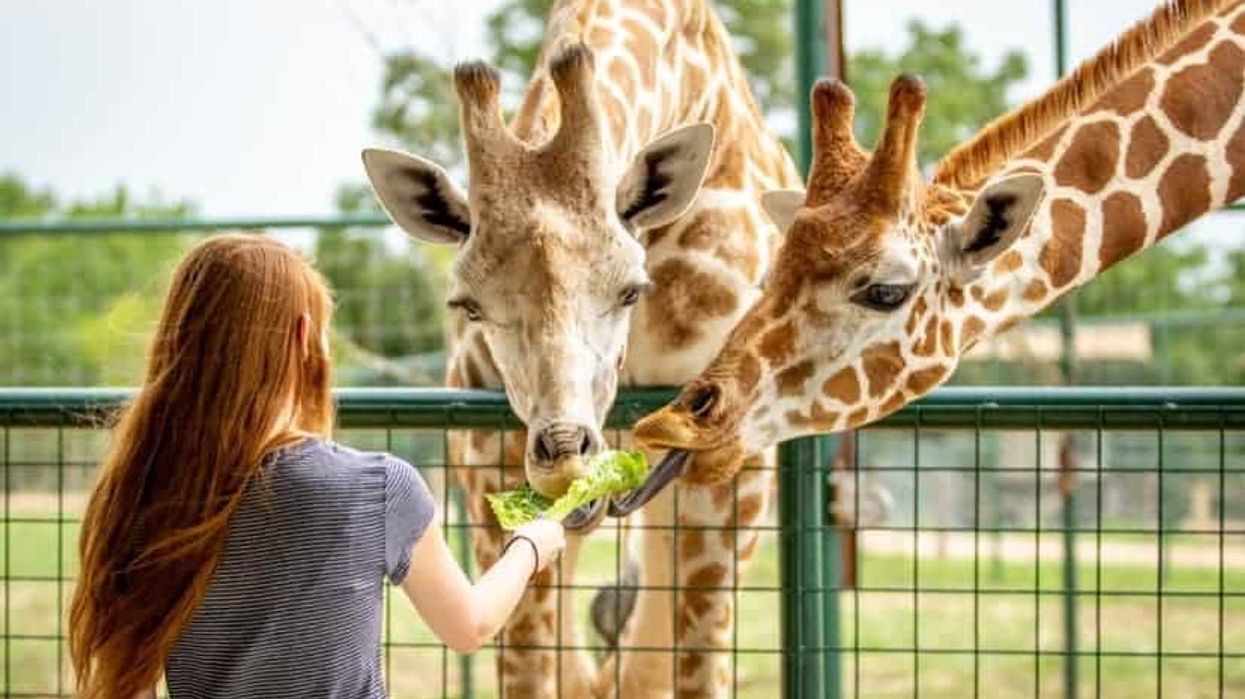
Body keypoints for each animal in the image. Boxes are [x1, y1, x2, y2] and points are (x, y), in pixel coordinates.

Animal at [360, 1, 801, 697]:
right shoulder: (490, 459)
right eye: (469, 305)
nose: (565, 455)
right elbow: (531, 667)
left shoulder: (730, 473)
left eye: (630, 289)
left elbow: (694, 663)